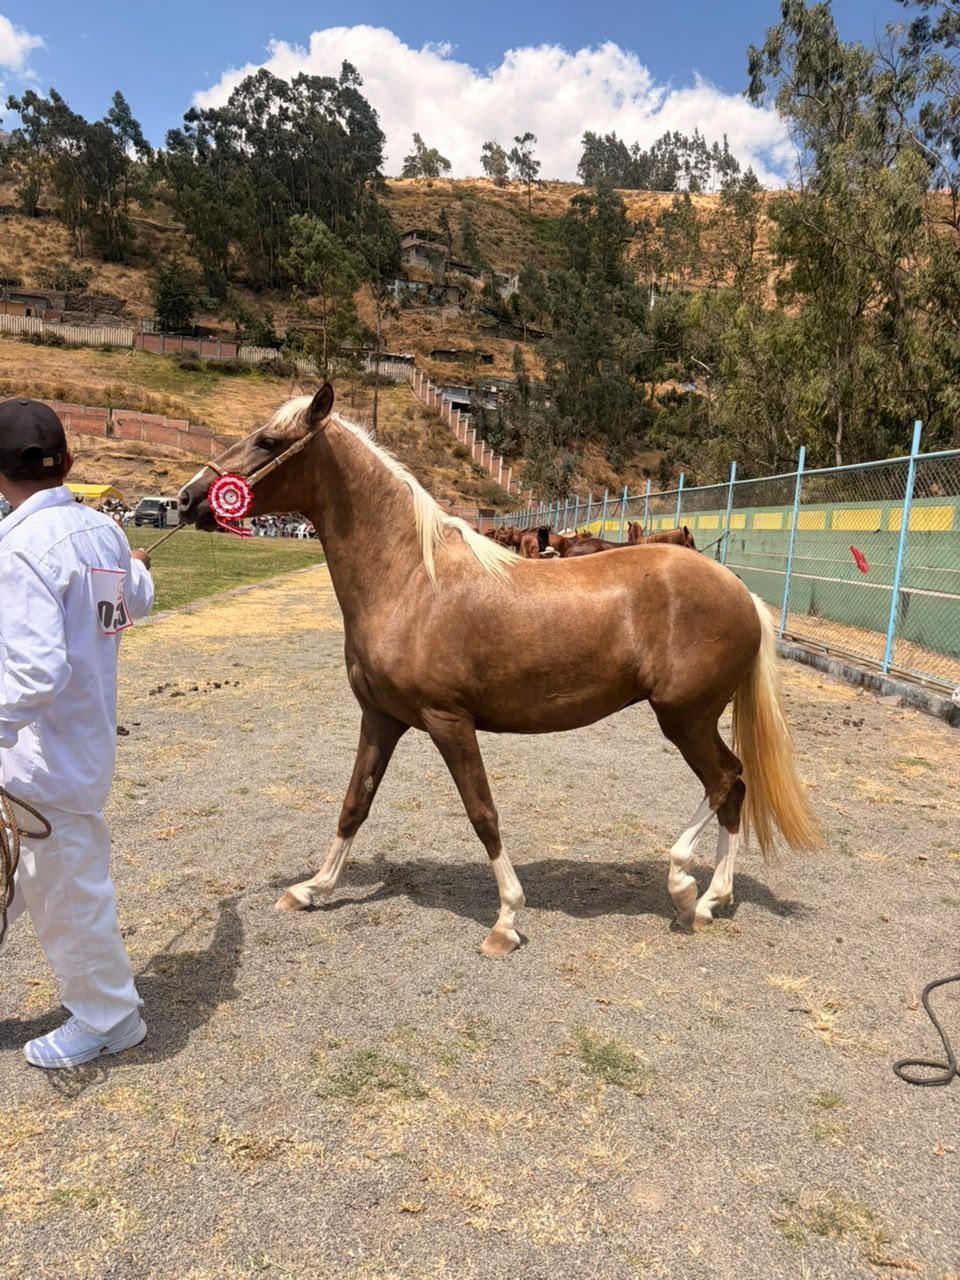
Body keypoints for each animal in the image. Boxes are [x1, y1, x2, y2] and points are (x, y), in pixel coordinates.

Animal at [178, 384, 818, 954]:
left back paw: (687, 886)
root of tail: (739, 591)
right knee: (733, 789)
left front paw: (507, 919)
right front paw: (313, 889)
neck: (412, 580)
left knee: (725, 781)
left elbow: (482, 812)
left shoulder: (448, 722)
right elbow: (355, 803)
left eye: (267, 441)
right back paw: (713, 899)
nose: (187, 499)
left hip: (684, 718)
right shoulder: (381, 718)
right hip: (694, 720)